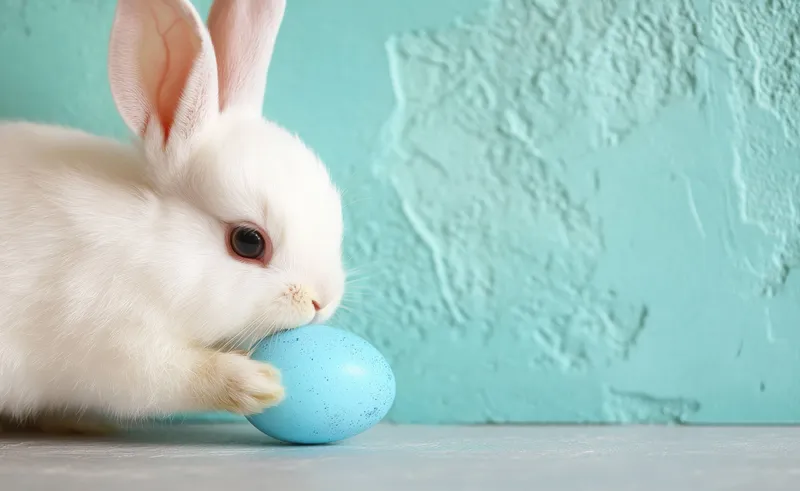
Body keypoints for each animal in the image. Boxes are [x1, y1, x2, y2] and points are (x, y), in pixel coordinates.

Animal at [0, 0, 345, 433]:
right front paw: (258, 384)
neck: (152, 247)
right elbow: (176, 376)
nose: (322, 302)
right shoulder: (112, 341)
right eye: (248, 241)